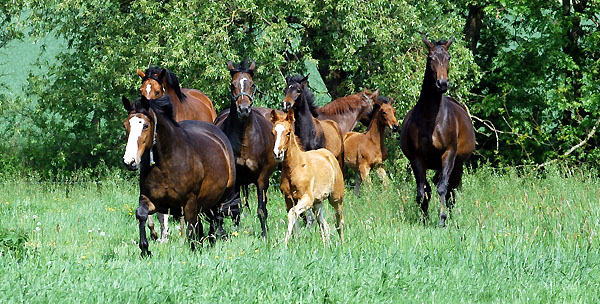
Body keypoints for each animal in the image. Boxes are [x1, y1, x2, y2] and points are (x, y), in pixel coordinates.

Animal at [120, 95, 236, 256]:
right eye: (126, 126)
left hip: (222, 194)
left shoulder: (189, 202)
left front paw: (194, 249)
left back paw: (213, 240)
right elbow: (142, 214)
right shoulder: (153, 201)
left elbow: (190, 227)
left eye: (145, 126)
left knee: (216, 217)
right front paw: (145, 249)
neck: (166, 164)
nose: (129, 161)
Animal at [214, 59, 278, 239]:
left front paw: (264, 235)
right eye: (232, 84)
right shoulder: (235, 180)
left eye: (252, 84)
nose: (243, 110)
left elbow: (261, 209)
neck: (244, 140)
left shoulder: (262, 179)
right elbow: (234, 208)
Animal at [270, 109, 344, 245]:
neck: (294, 168)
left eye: (288, 133)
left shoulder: (306, 198)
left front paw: (285, 244)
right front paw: (296, 242)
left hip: (336, 198)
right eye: (273, 133)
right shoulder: (289, 200)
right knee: (323, 224)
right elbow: (295, 219)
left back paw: (342, 244)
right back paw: (327, 245)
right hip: (317, 203)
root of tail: (329, 155)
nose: (277, 153)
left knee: (339, 221)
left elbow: (292, 214)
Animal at [400, 34, 476, 227]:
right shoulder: (417, 159)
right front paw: (424, 219)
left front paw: (442, 219)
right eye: (430, 58)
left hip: (457, 165)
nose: (442, 83)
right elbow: (422, 191)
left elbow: (442, 188)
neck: (431, 119)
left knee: (451, 190)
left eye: (448, 57)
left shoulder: (448, 154)